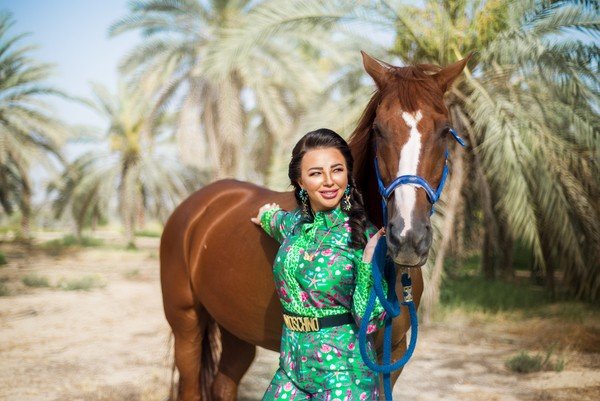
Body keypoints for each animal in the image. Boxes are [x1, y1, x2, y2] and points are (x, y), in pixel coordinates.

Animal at [162, 52, 472, 400]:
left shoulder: (391, 360)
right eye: (378, 129)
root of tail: (198, 205)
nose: (407, 237)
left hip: (234, 329)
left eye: (445, 130)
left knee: (223, 384)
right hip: (186, 324)